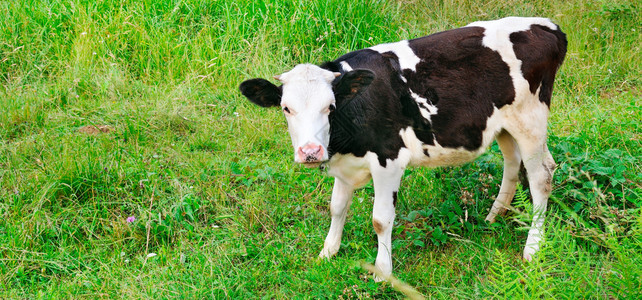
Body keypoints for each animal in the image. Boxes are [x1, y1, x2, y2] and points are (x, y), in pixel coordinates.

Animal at [239, 17, 564, 280]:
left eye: (330, 106)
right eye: (286, 108)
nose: (310, 151)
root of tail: (549, 26)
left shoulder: (389, 159)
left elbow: (381, 219)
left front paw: (383, 272)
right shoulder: (344, 166)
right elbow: (336, 207)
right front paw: (327, 253)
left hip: (530, 120)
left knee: (541, 176)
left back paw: (533, 247)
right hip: (504, 125)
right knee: (513, 163)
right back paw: (493, 216)